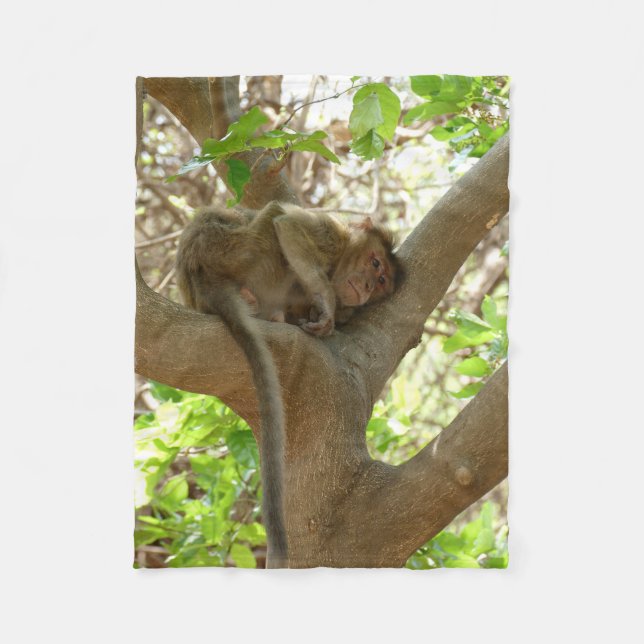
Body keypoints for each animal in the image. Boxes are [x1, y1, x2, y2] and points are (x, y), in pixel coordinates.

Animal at [175, 200, 399, 567]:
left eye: (381, 281)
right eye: (375, 262)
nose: (368, 286)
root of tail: (199, 275)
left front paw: (329, 310)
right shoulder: (331, 232)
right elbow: (288, 225)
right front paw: (327, 303)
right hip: (239, 248)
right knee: (272, 214)